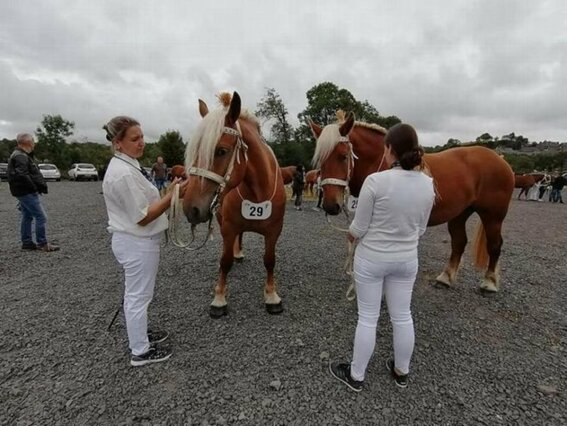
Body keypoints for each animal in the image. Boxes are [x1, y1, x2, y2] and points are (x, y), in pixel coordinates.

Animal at [183, 92, 286, 316]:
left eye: (222, 151)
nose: (191, 209)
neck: (257, 192)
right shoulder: (229, 227)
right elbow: (225, 260)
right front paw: (219, 299)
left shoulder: (274, 231)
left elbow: (270, 260)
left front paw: (272, 296)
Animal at [312, 113, 516, 292]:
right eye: (320, 159)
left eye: (343, 156)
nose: (330, 205)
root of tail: (499, 159)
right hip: (459, 214)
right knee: (459, 243)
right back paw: (446, 277)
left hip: (493, 216)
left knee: (495, 245)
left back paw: (489, 282)